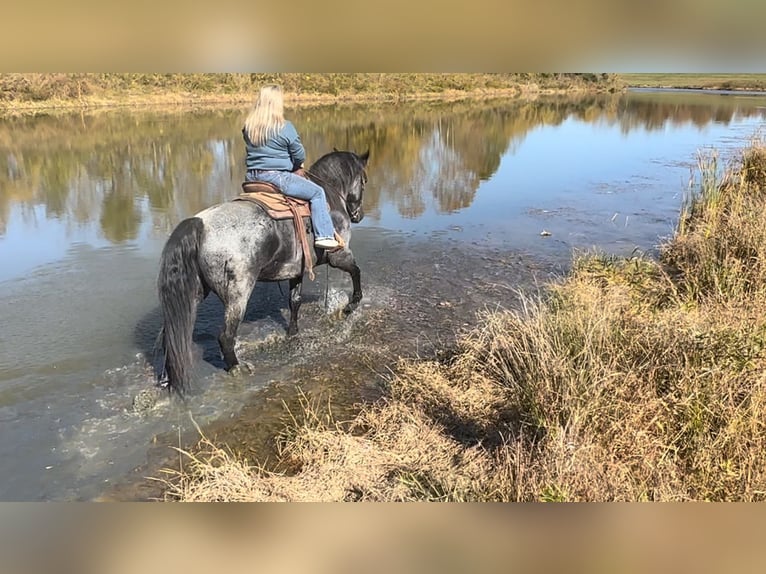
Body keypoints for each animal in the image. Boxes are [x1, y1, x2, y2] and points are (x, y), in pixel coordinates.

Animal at [155, 148, 368, 396]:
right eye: (364, 181)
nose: (359, 215)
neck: (329, 199)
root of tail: (200, 223)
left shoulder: (295, 270)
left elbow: (294, 301)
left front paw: (293, 333)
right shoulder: (339, 255)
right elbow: (356, 272)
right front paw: (352, 305)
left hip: (197, 292)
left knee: (171, 337)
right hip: (238, 294)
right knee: (226, 336)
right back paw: (236, 367)